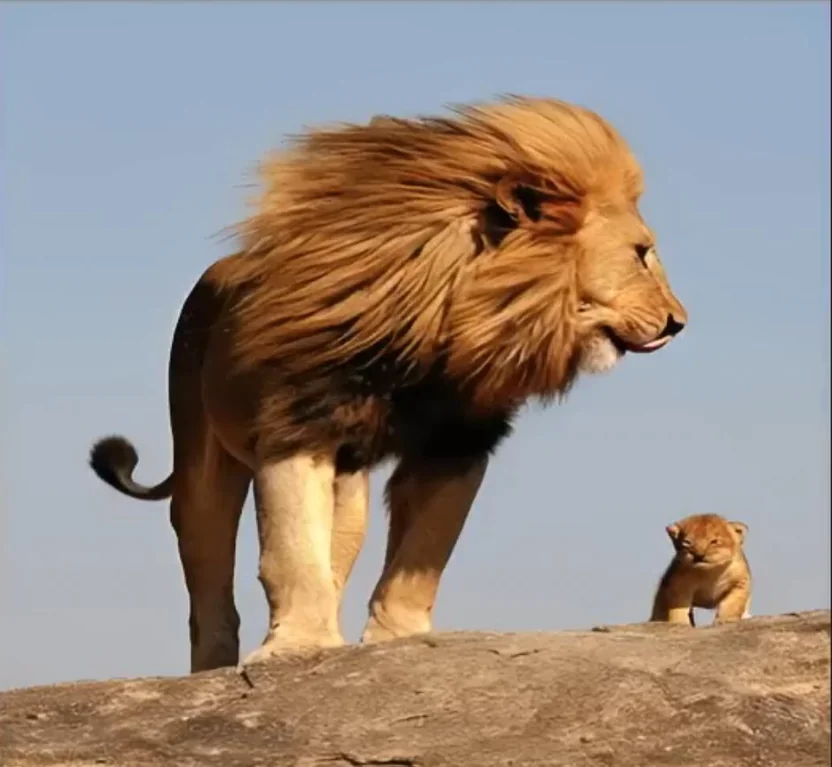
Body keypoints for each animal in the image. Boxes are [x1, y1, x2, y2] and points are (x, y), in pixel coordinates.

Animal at [89, 95, 687, 674]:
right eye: (641, 254)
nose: (679, 323)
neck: (445, 323)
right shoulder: (297, 425)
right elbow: (289, 552)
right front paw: (297, 648)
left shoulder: (458, 443)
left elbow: (423, 554)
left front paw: (397, 639)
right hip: (202, 459)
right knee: (208, 572)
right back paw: (212, 667)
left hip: (349, 487)